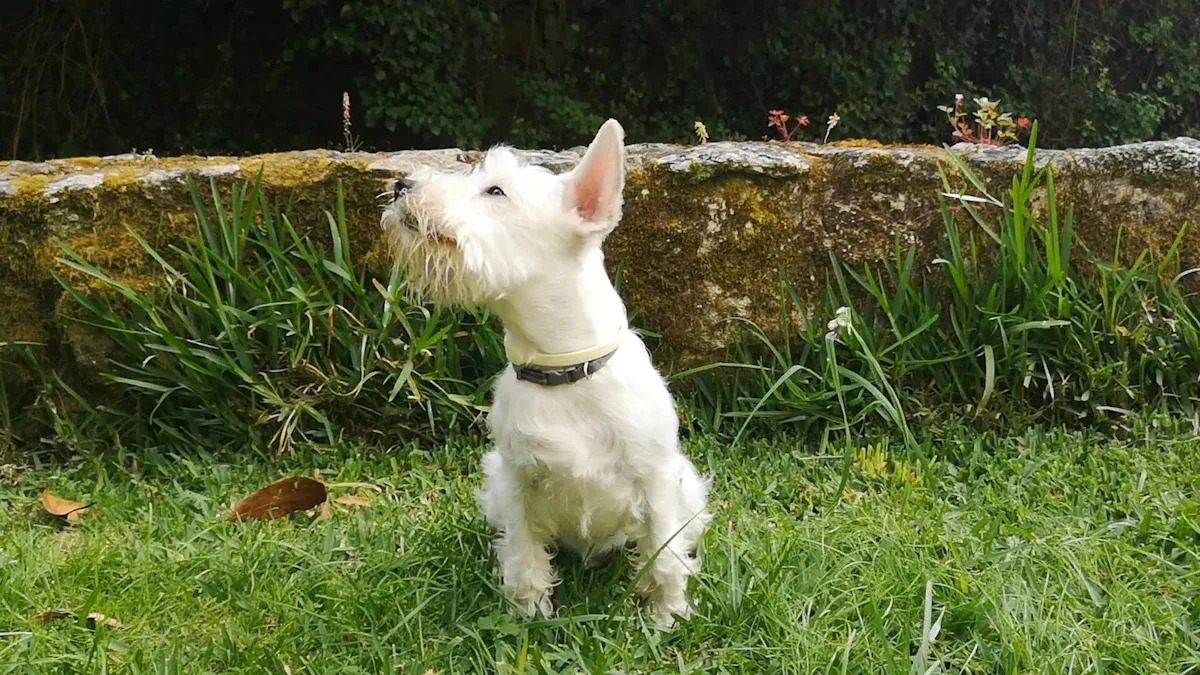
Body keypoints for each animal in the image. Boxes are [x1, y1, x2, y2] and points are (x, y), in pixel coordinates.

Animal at [379, 119, 705, 624]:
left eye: (496, 190)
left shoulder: (656, 483)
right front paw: (528, 613)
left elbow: (664, 553)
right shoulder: (518, 484)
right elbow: (525, 553)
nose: (401, 185)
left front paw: (666, 614)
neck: (565, 370)